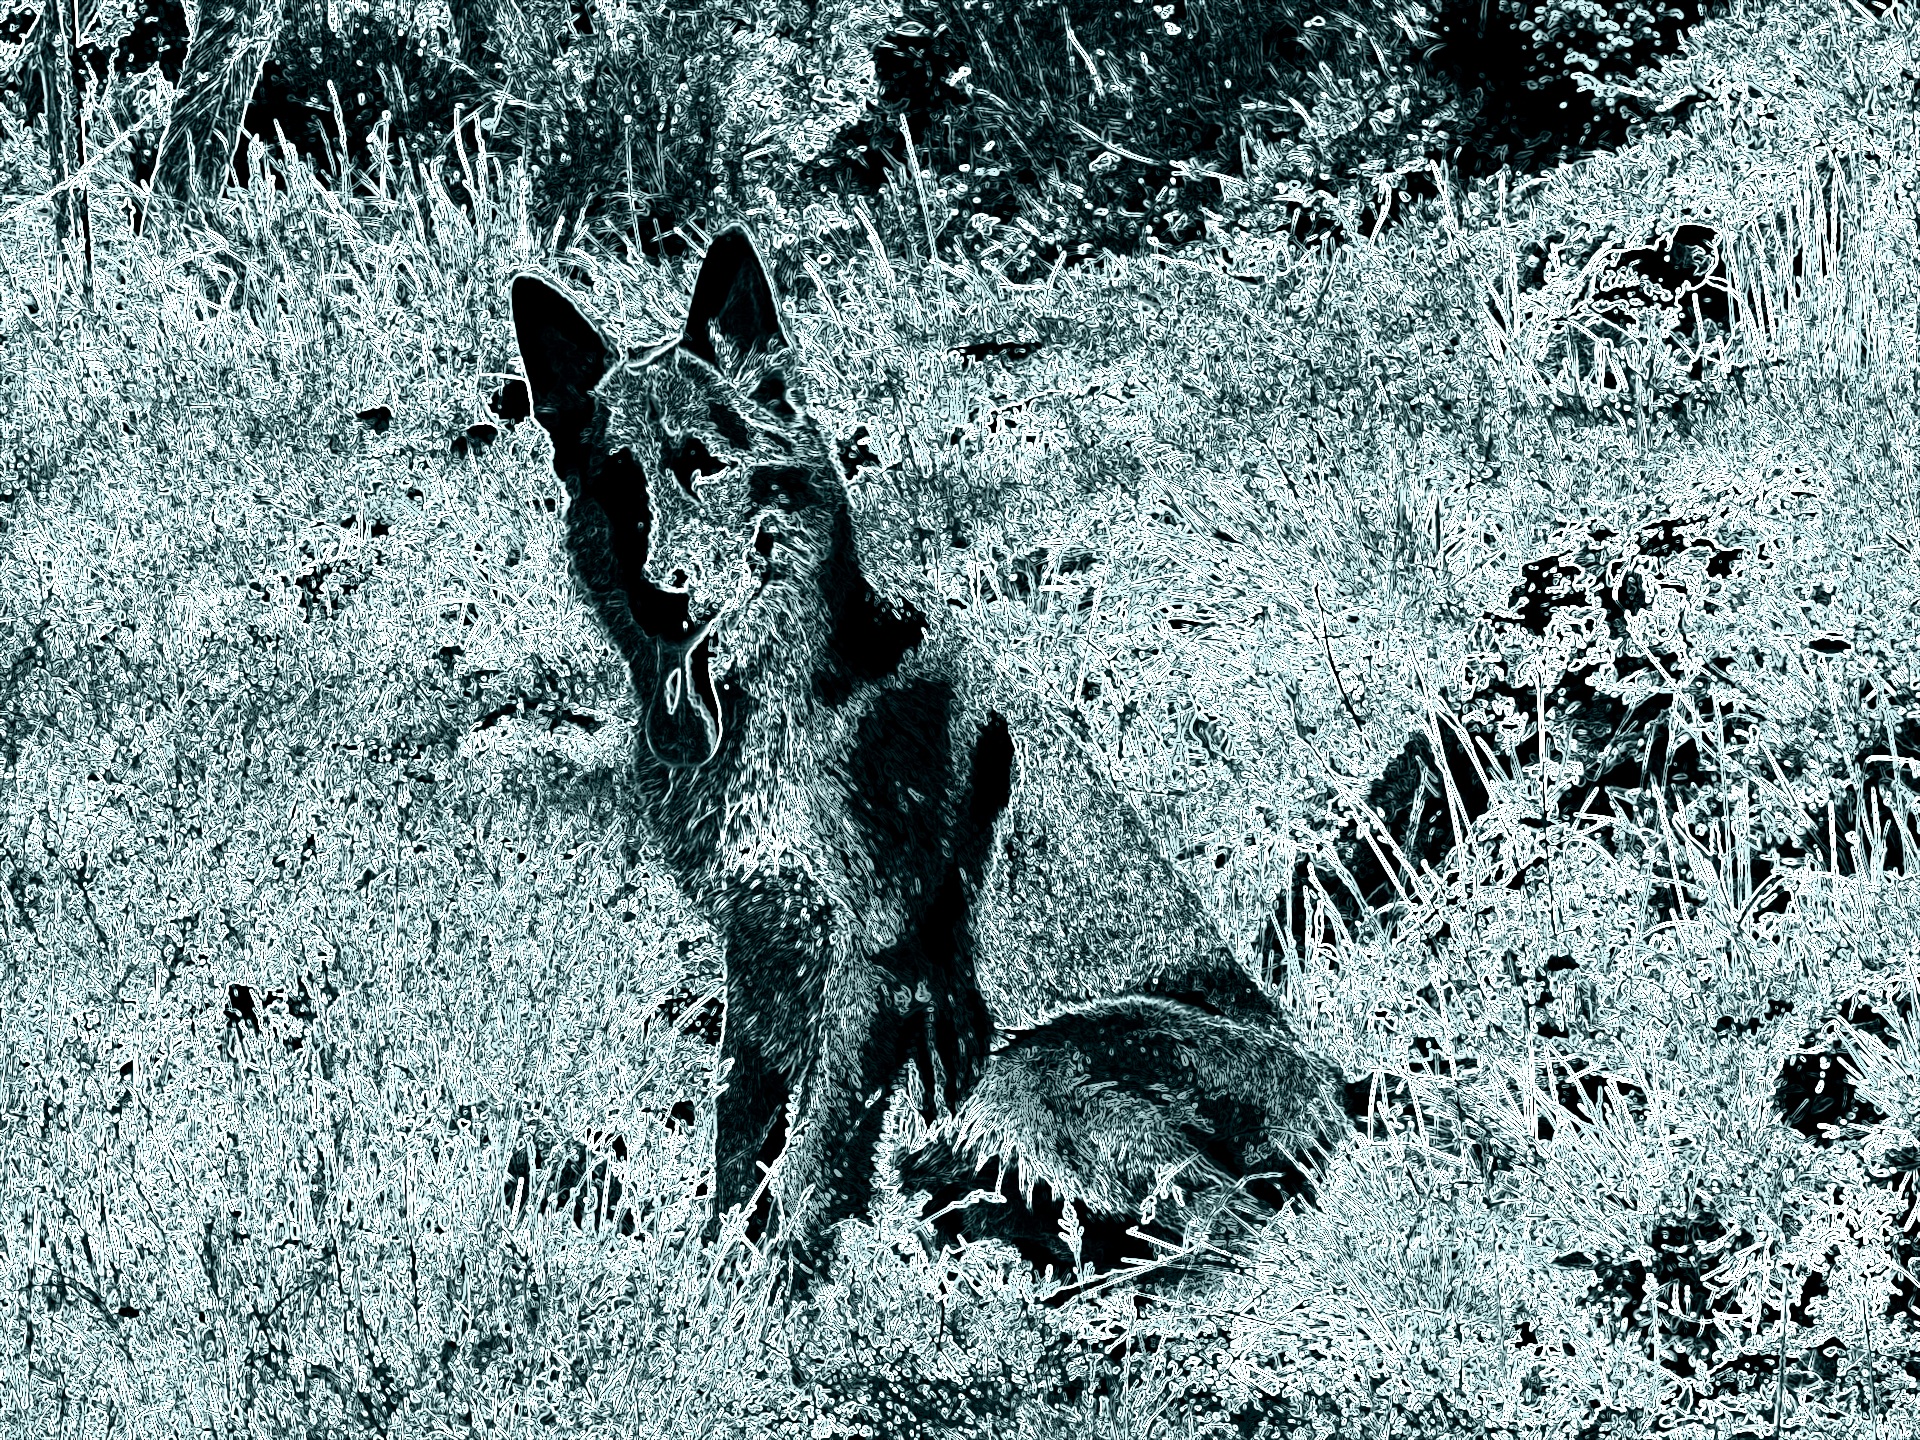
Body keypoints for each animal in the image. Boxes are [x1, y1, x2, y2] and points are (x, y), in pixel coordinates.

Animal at [514, 228, 1351, 1297]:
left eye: (705, 469)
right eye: (620, 486)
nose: (666, 595)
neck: (790, 697)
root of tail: (1338, 1094)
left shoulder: (865, 963)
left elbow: (816, 1140)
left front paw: (781, 1285)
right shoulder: (762, 950)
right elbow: (743, 1116)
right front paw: (718, 1263)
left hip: (1027, 1067)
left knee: (1234, 1227)